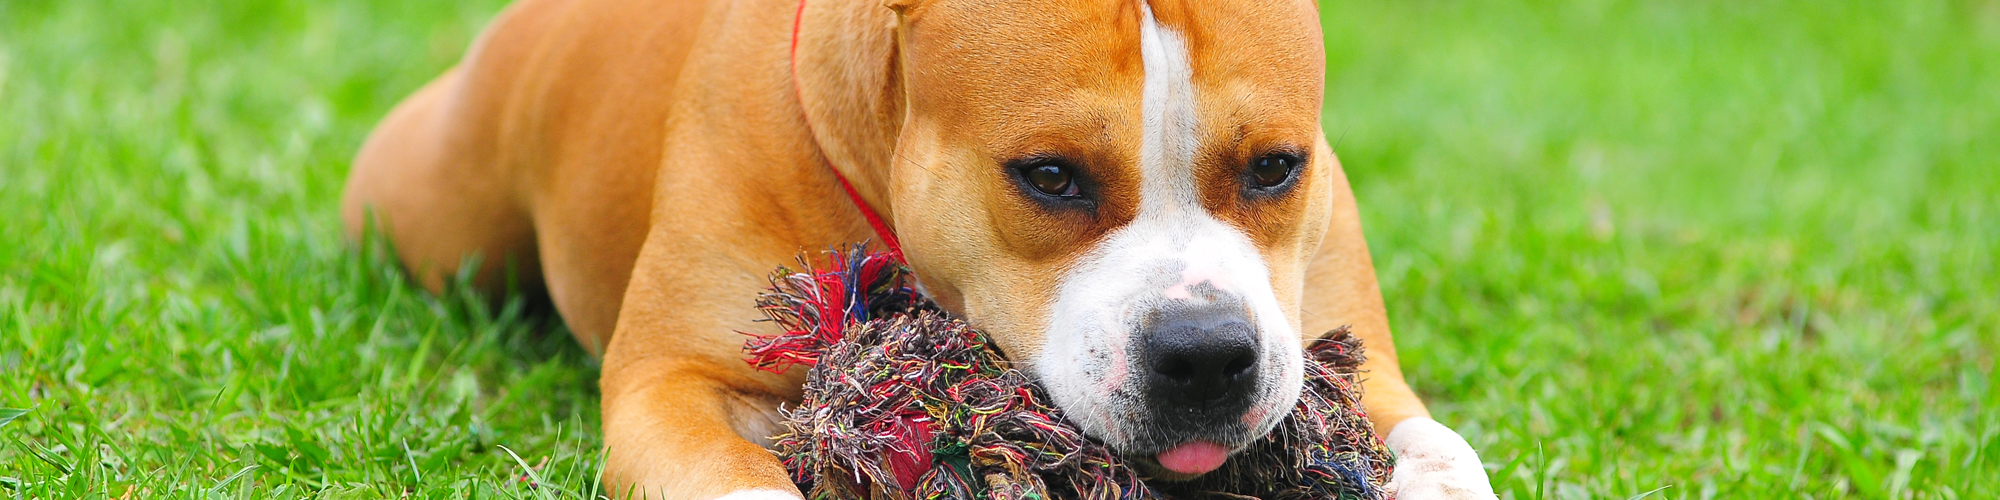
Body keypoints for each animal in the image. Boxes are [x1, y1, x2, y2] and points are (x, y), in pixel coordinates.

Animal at [344, 0, 1496, 496]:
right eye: (1048, 176)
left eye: (1274, 167)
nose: (1208, 354)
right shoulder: (668, 384)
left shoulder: (1346, 353)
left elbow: (1436, 443)